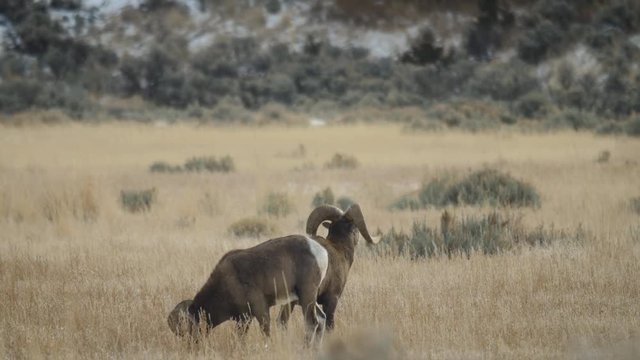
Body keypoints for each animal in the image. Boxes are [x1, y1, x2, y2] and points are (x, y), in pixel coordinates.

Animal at [168, 202, 378, 344]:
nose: (190, 347)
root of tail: (320, 250)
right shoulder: (243, 319)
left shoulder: (261, 310)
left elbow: (266, 332)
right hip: (305, 300)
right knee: (319, 322)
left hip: (307, 297)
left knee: (314, 323)